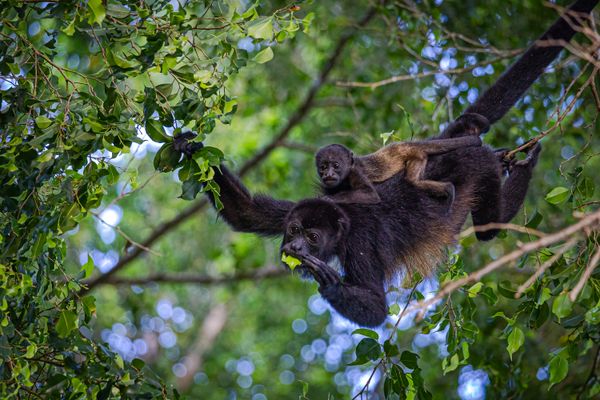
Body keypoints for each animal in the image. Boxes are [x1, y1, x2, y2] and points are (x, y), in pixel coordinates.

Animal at [195, 0, 596, 326]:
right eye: (293, 230)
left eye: (312, 238)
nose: (294, 249)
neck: (341, 223)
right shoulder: (306, 203)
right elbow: (248, 213)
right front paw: (188, 146)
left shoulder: (360, 243)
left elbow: (375, 308)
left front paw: (329, 279)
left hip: (477, 167)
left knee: (489, 227)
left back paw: (523, 166)